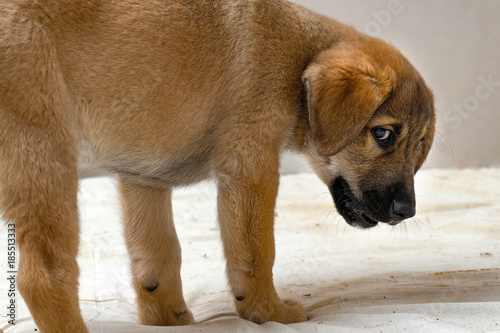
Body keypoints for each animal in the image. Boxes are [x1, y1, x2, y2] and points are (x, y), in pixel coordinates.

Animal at [0, 0, 434, 330]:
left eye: (420, 146)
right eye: (383, 134)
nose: (407, 211)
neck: (297, 52)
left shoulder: (144, 178)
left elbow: (157, 254)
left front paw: (167, 319)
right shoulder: (251, 168)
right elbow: (257, 253)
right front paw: (269, 312)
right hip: (45, 156)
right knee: (42, 278)